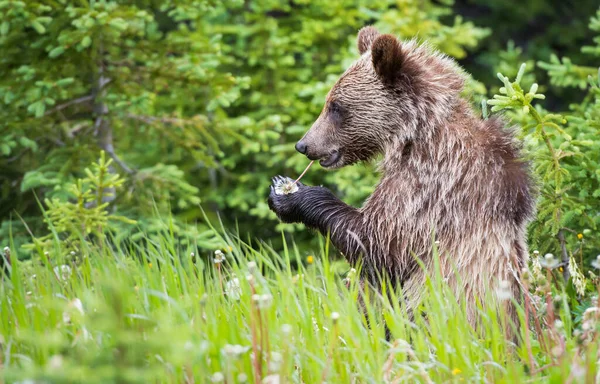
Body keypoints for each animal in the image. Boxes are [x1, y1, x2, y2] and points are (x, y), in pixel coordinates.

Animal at [268, 26, 536, 332]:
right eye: (329, 102)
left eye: (336, 107)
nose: (303, 145)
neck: (412, 135)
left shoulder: (431, 185)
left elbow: (379, 244)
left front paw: (293, 197)